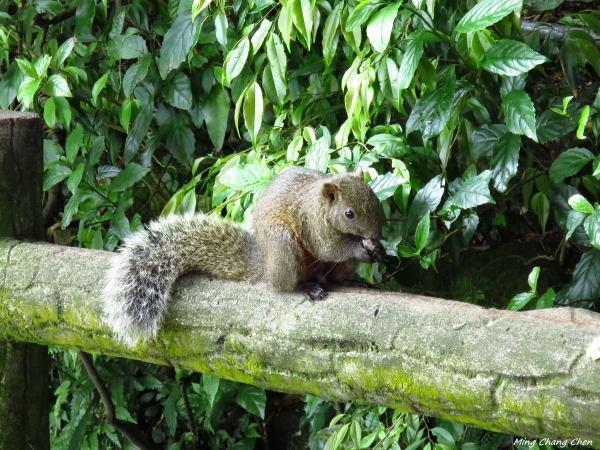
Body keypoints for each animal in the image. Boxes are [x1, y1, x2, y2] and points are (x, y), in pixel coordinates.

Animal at [103, 167, 384, 346]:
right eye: (349, 213)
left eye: (375, 197)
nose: (376, 233)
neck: (320, 207)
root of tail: (266, 267)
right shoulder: (312, 224)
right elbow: (328, 248)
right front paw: (360, 247)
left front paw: (378, 249)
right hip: (283, 245)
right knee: (284, 284)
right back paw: (306, 287)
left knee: (331, 277)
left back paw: (350, 281)